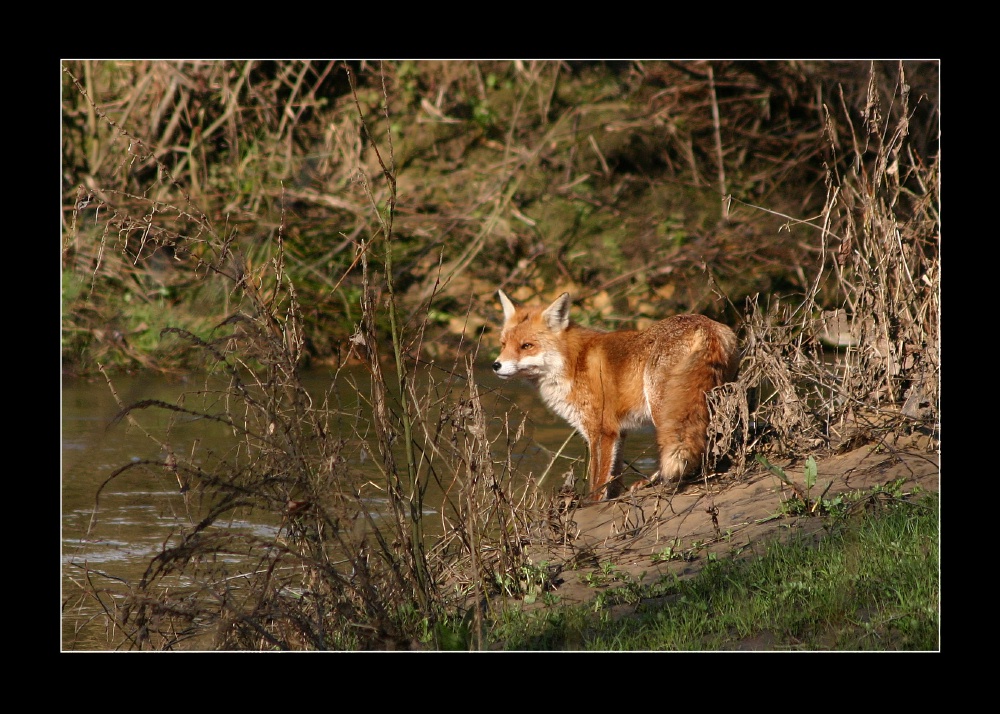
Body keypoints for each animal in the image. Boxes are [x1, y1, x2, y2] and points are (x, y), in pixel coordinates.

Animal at [494, 290, 740, 500]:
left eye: (527, 346)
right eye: (503, 344)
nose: (496, 365)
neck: (573, 362)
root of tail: (704, 324)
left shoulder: (602, 430)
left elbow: (597, 481)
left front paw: (590, 506)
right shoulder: (619, 433)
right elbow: (613, 479)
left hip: (662, 405)